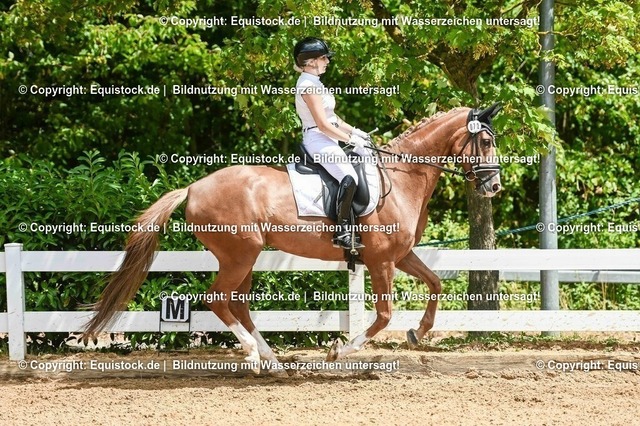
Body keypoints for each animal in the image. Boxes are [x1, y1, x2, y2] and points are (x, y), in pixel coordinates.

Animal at [84, 104, 502, 376]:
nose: (495, 186)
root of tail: (193, 188)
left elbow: (435, 283)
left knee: (238, 305)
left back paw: (272, 363)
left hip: (243, 257)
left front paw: (419, 331)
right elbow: (384, 316)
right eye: (484, 143)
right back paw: (255, 358)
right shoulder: (382, 261)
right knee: (218, 300)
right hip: (240, 254)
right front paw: (339, 352)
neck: (400, 178)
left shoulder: (400, 255)